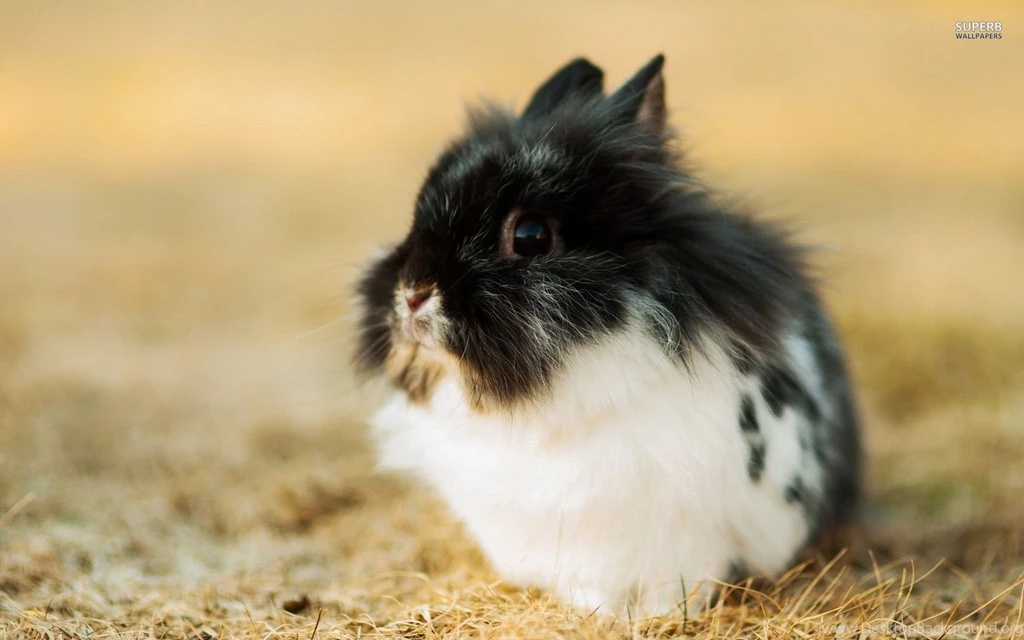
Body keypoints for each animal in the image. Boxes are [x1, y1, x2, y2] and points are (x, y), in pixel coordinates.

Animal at [354, 54, 861, 616]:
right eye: (415, 214)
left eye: (531, 235)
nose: (411, 293)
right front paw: (594, 612)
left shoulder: (691, 534)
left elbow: (680, 584)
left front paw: (658, 617)